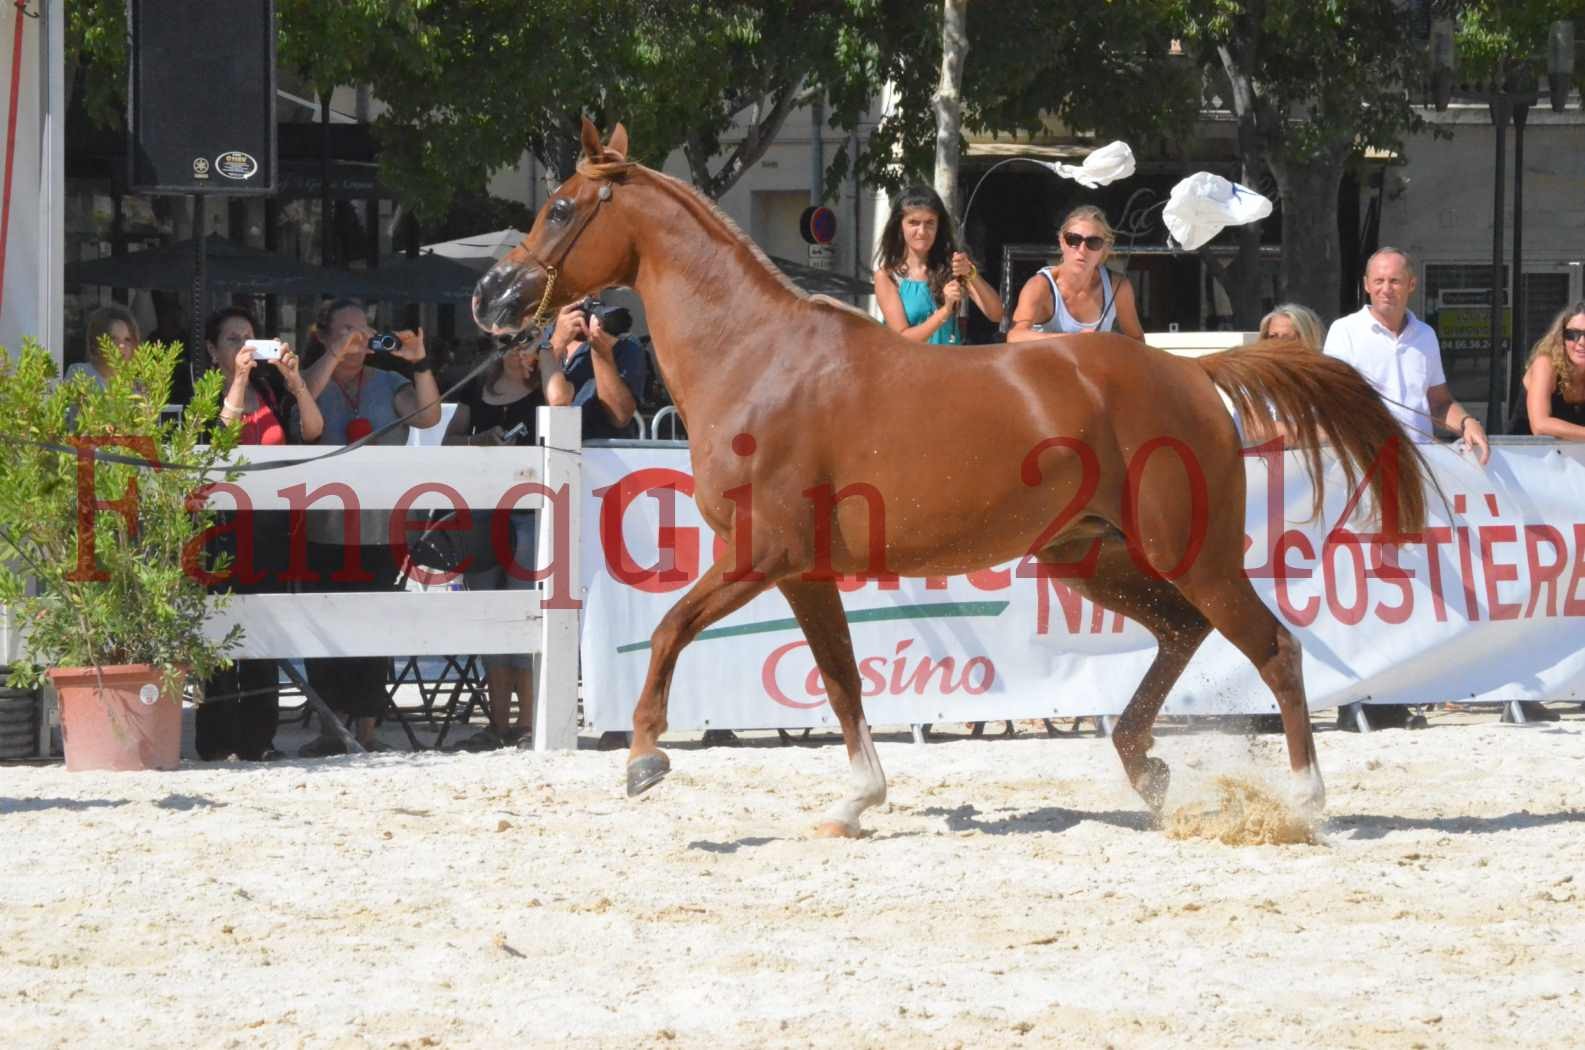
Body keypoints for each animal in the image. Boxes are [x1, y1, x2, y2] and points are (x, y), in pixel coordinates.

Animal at [469, 118, 1426, 837]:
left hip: (1191, 554)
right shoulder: (804, 572)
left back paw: (1301, 800)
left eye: (561, 208)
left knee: (1271, 648)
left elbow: (670, 629)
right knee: (1181, 634)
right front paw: (856, 801)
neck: (756, 359)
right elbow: (841, 680)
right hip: (1090, 558)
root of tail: (1192, 375)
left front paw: (643, 757)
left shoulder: (758, 554)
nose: (490, 298)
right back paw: (1143, 766)